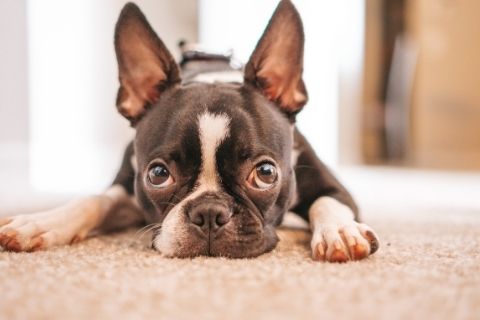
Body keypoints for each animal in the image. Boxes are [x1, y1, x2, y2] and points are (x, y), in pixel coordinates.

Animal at [0, 0, 378, 262]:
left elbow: (328, 203)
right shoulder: (127, 183)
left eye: (266, 173)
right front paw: (40, 223)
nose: (209, 213)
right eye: (157, 174)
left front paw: (340, 232)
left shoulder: (333, 186)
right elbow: (94, 199)